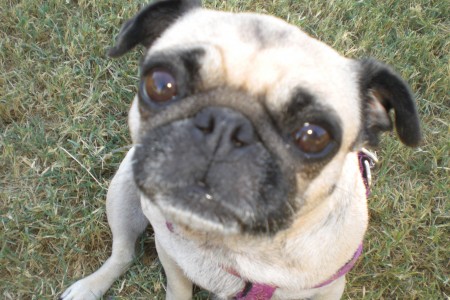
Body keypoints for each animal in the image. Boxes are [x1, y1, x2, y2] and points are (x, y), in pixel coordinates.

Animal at [59, 0, 422, 300]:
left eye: (313, 136)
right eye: (160, 84)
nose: (225, 126)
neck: (231, 247)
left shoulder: (329, 288)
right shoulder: (170, 256)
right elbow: (178, 289)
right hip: (122, 192)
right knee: (122, 253)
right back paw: (89, 287)